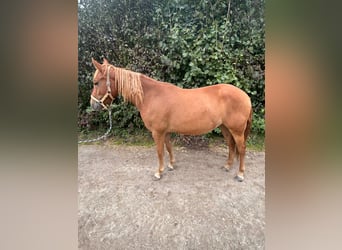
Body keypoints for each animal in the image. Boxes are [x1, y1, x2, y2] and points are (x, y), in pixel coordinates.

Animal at [89, 57, 252, 181]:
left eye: (96, 82)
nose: (93, 105)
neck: (151, 95)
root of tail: (245, 96)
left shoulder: (157, 132)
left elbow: (160, 151)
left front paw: (158, 172)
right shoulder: (165, 131)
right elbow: (168, 148)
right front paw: (171, 165)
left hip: (236, 130)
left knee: (241, 149)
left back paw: (240, 174)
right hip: (225, 127)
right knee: (231, 146)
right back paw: (227, 166)